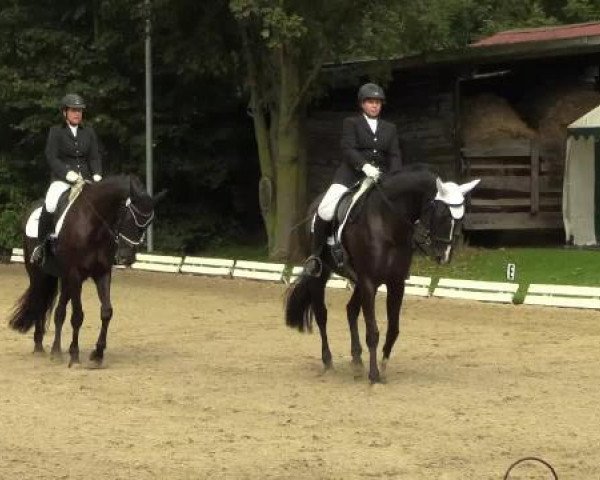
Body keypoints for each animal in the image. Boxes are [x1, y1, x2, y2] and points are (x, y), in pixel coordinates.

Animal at [9, 176, 164, 368]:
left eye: (148, 223)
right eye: (128, 217)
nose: (126, 258)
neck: (94, 224)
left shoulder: (102, 273)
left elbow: (106, 311)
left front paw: (97, 354)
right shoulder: (75, 274)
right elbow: (77, 316)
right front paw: (75, 356)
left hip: (65, 278)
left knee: (59, 312)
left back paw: (56, 351)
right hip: (39, 274)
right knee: (40, 301)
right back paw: (39, 346)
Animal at [284, 167, 478, 384]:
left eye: (461, 218)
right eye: (443, 214)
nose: (444, 256)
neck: (388, 225)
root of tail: (314, 204)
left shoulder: (395, 283)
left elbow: (393, 329)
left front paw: (383, 366)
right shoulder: (369, 282)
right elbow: (373, 331)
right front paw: (374, 375)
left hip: (358, 281)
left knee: (351, 310)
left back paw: (357, 361)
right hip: (322, 273)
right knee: (321, 315)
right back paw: (328, 362)